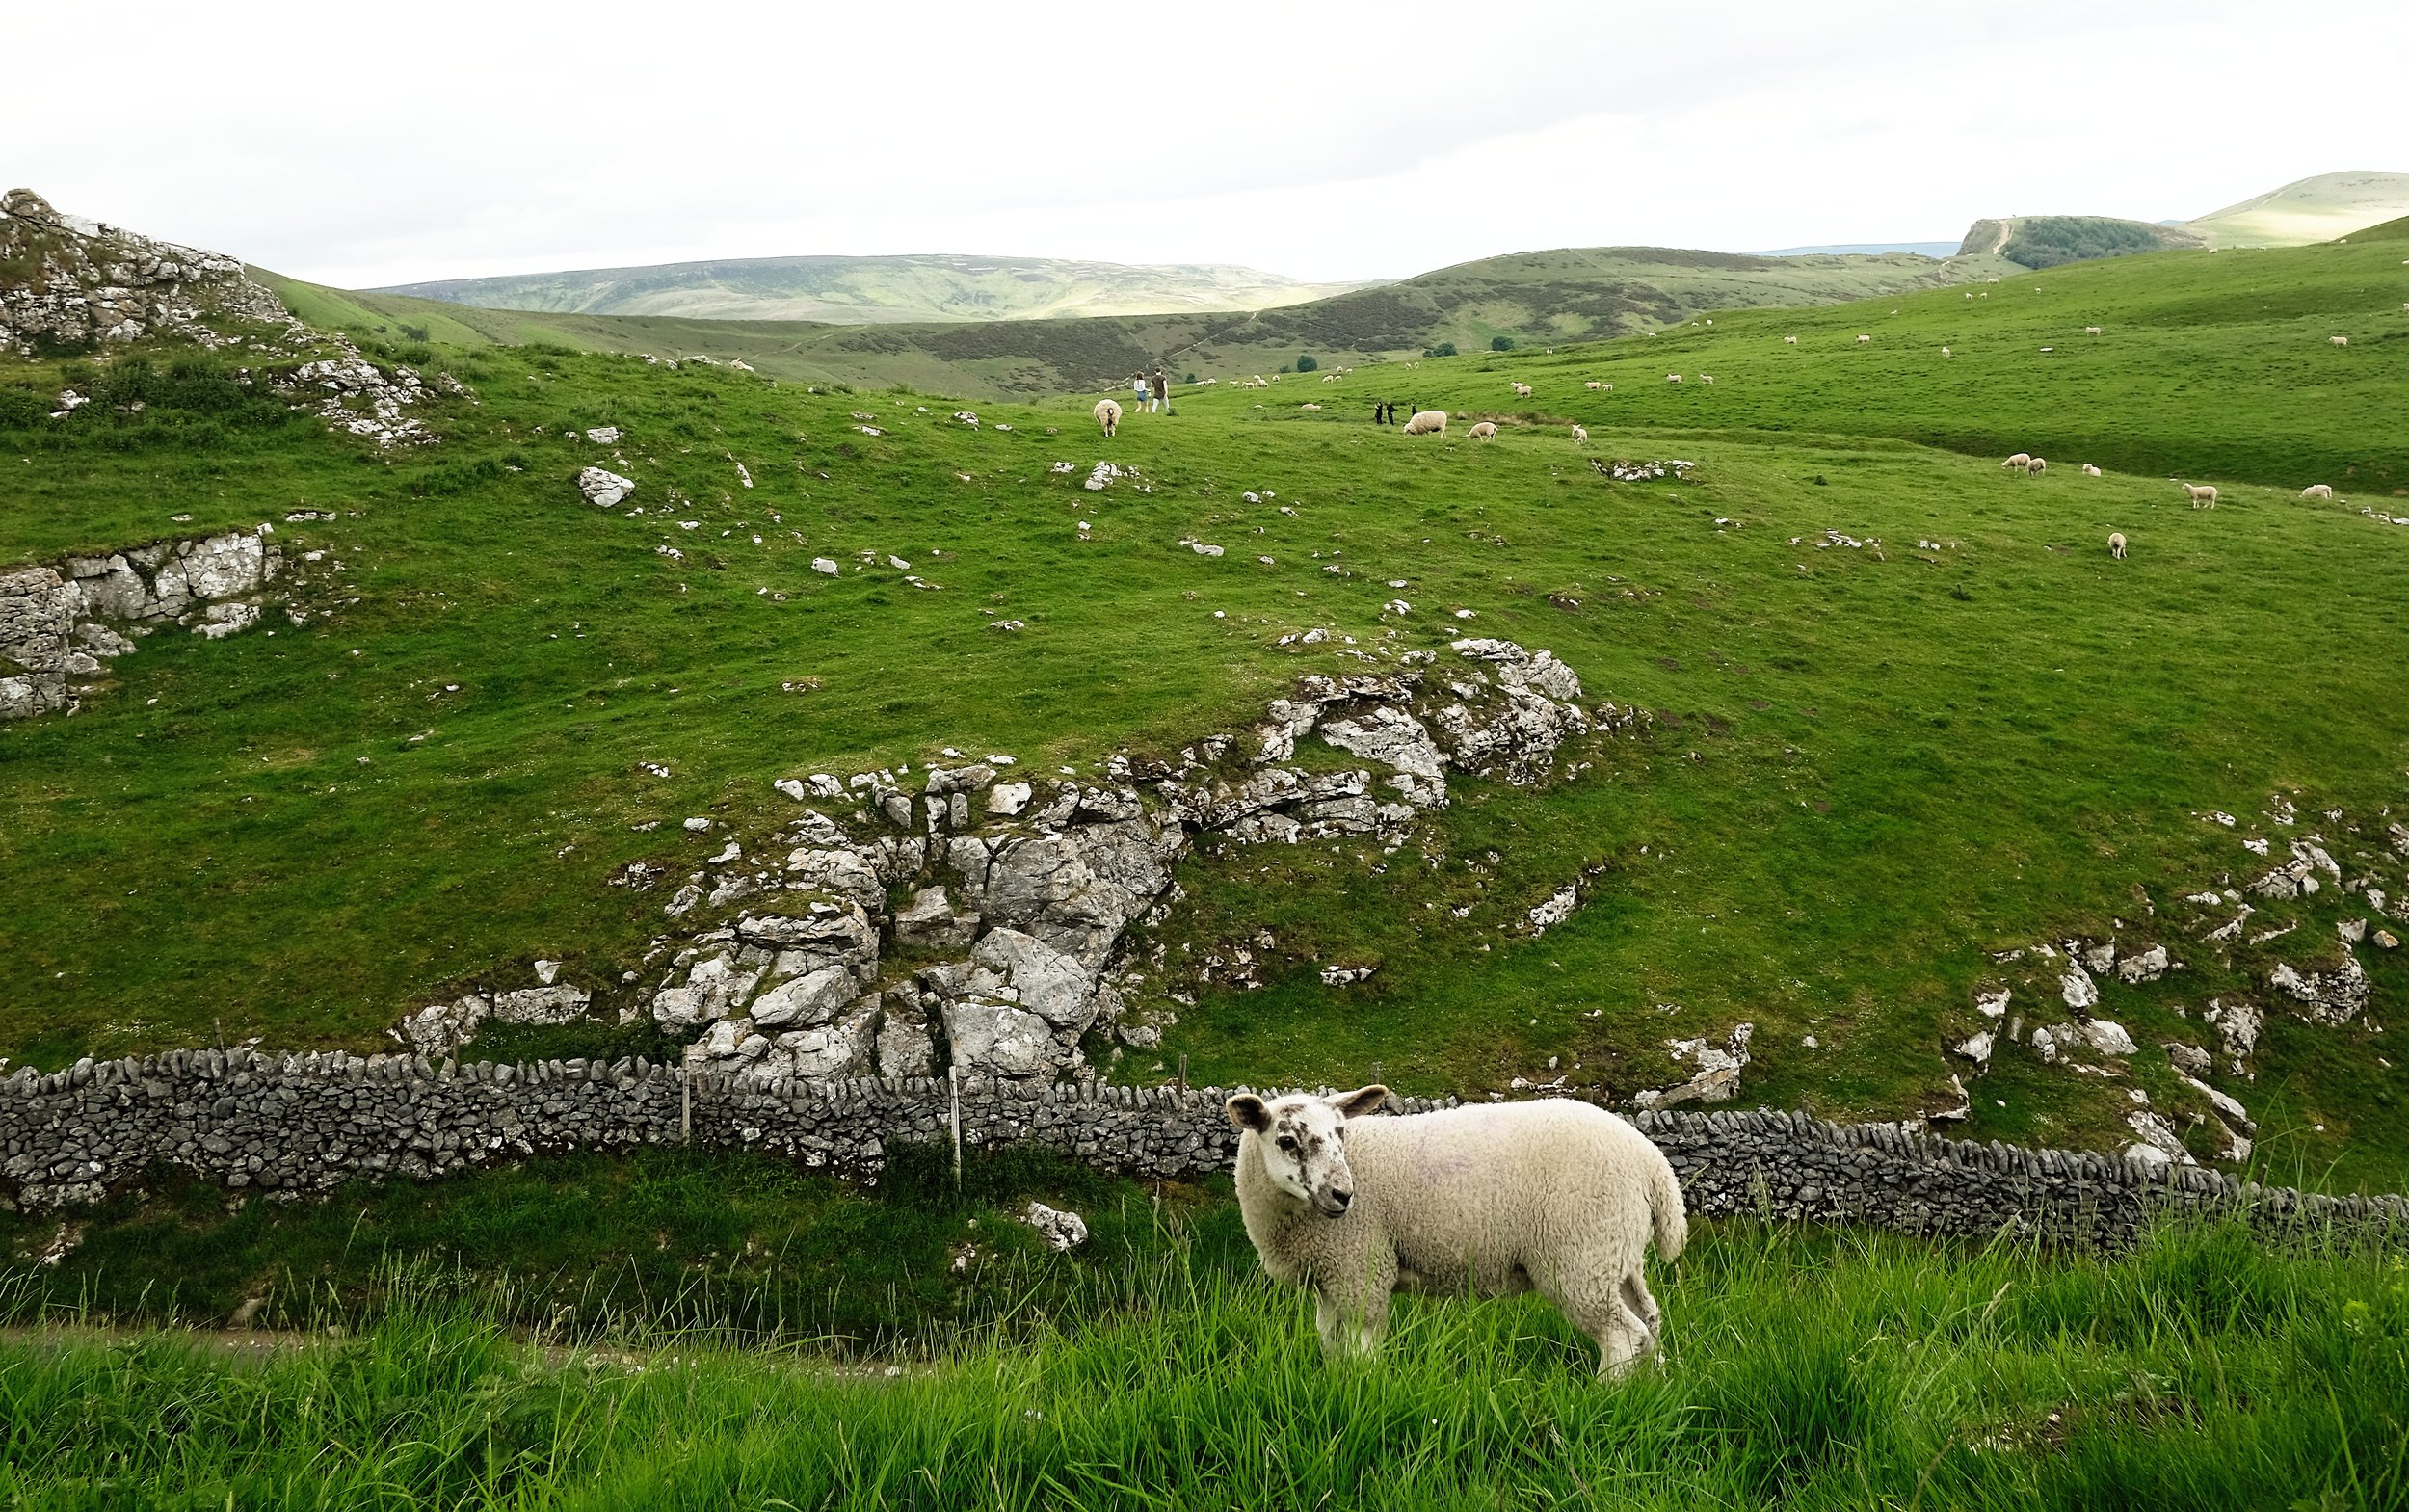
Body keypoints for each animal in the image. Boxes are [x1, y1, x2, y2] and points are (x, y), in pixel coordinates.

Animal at [1233, 1093, 1686, 1377]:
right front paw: (1333, 1383)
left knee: (1623, 1336)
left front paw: (1362, 1391)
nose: (1343, 1194)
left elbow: (1361, 1351)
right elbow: (1329, 1343)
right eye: (1287, 1140)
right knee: (1649, 1320)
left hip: (1581, 1258)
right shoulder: (1329, 1279)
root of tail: (1654, 1164)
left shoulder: (1361, 1269)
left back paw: (1602, 1396)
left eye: (1340, 1133)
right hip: (1616, 1253)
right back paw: (1654, 1385)